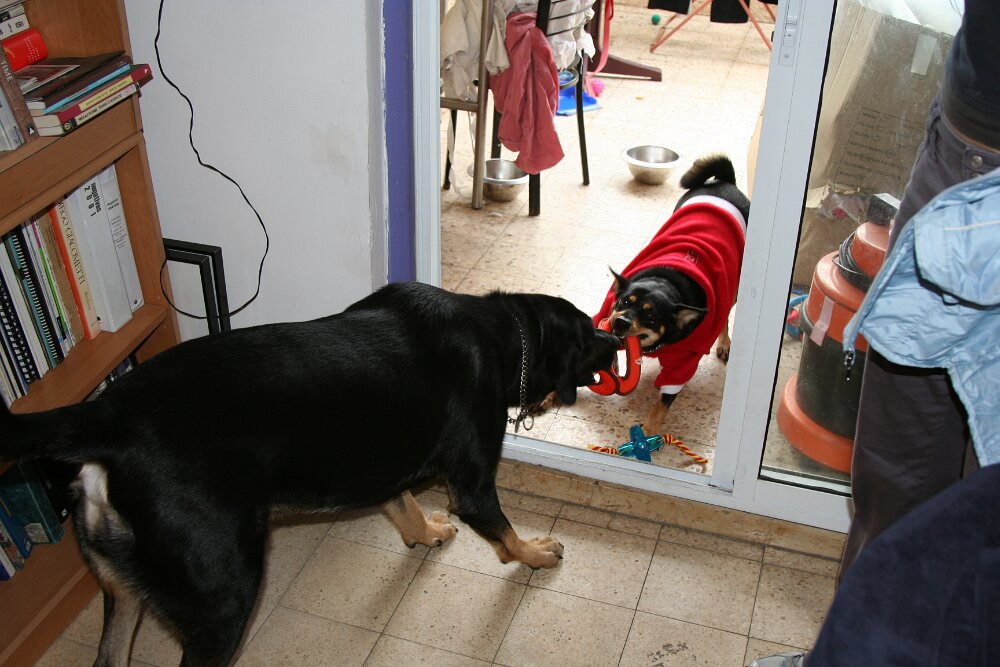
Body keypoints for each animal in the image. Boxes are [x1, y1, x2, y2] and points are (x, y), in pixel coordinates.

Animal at [0, 282, 618, 666]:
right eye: (589, 333)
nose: (618, 335)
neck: (503, 335)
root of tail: (108, 418)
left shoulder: (384, 461)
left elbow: (402, 504)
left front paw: (424, 533)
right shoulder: (472, 483)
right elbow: (505, 535)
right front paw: (536, 553)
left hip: (122, 590)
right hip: (224, 592)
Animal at [593, 154, 750, 434]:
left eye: (651, 316)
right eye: (623, 301)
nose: (620, 322)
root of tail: (726, 182)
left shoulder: (683, 363)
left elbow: (663, 402)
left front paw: (647, 432)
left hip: (735, 285)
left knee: (725, 315)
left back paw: (724, 343)